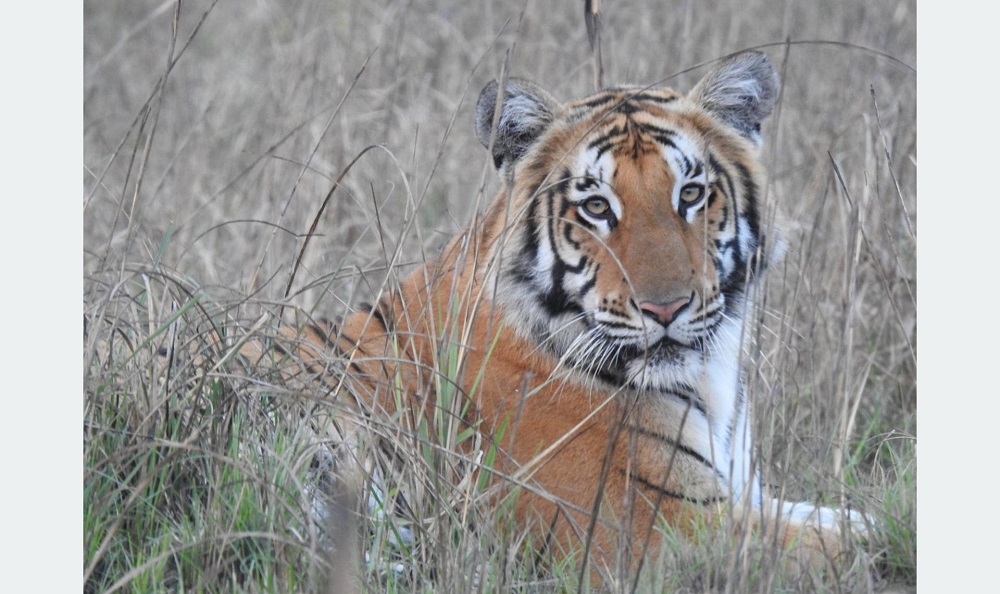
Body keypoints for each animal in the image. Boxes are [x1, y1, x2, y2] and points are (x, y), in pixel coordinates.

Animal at [274, 49, 868, 580]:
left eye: (691, 194)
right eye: (597, 207)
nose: (666, 307)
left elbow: (849, 515)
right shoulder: (651, 528)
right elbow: (851, 544)